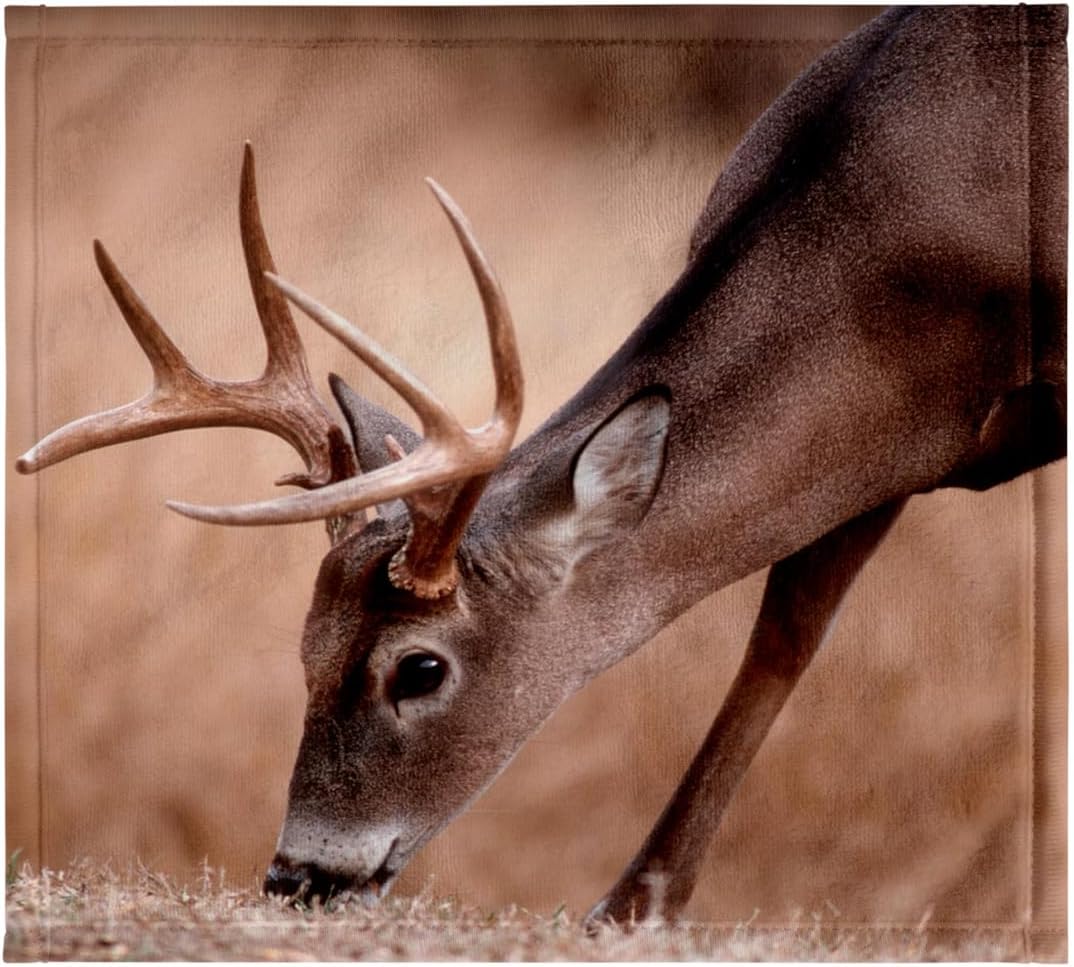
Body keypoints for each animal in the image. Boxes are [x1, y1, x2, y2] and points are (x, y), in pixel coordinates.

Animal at [16, 5, 1066, 926]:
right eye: (305, 645)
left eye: (420, 667)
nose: (297, 874)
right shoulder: (881, 450)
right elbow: (784, 637)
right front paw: (634, 906)